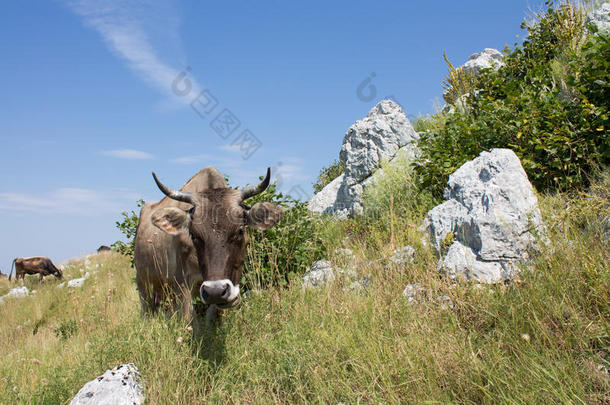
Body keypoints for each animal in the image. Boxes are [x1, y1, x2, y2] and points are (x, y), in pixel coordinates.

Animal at [134, 167, 282, 328]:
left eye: (240, 231)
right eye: (193, 235)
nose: (216, 290)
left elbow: (212, 317)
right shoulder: (181, 283)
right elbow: (191, 319)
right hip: (144, 285)